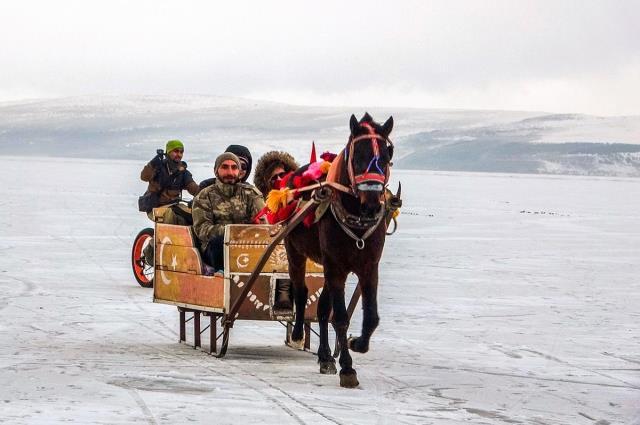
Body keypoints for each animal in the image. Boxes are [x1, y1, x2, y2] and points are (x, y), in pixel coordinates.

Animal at [284, 112, 396, 388]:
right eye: (357, 156)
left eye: (387, 154)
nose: (371, 205)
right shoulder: (336, 265)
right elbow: (341, 317)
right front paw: (347, 368)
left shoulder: (369, 266)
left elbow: (371, 316)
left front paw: (358, 343)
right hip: (295, 252)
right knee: (301, 291)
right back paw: (298, 333)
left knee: (323, 309)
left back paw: (325, 356)